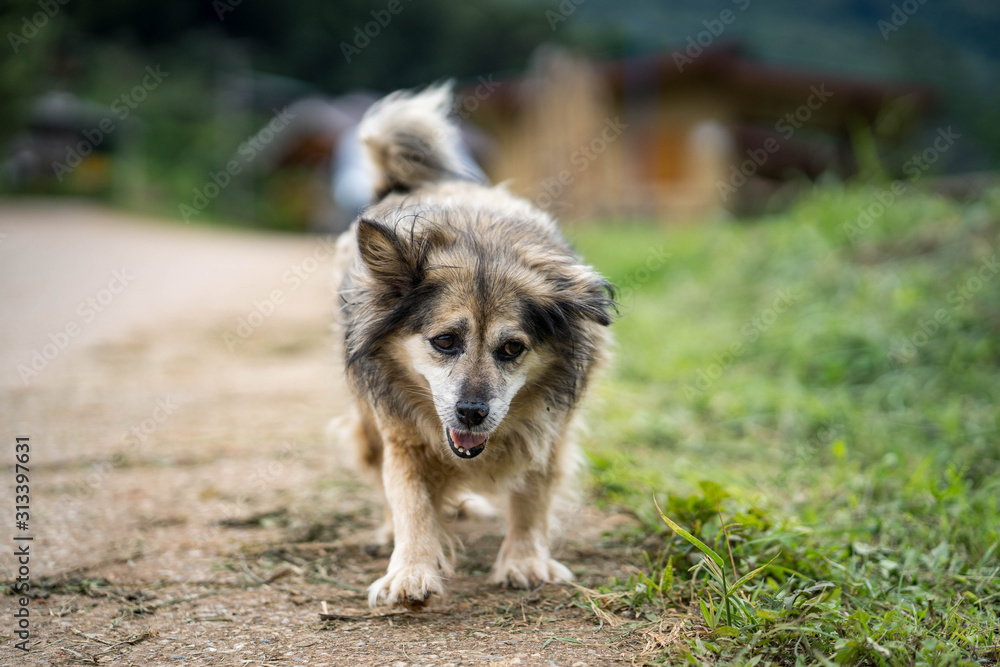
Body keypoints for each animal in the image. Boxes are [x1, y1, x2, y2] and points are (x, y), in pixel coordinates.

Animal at [332, 81, 612, 608]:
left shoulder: (550, 432)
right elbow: (409, 499)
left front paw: (524, 561)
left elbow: (532, 495)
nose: (472, 414)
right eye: (444, 341)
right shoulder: (401, 433)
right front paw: (411, 570)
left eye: (512, 349)